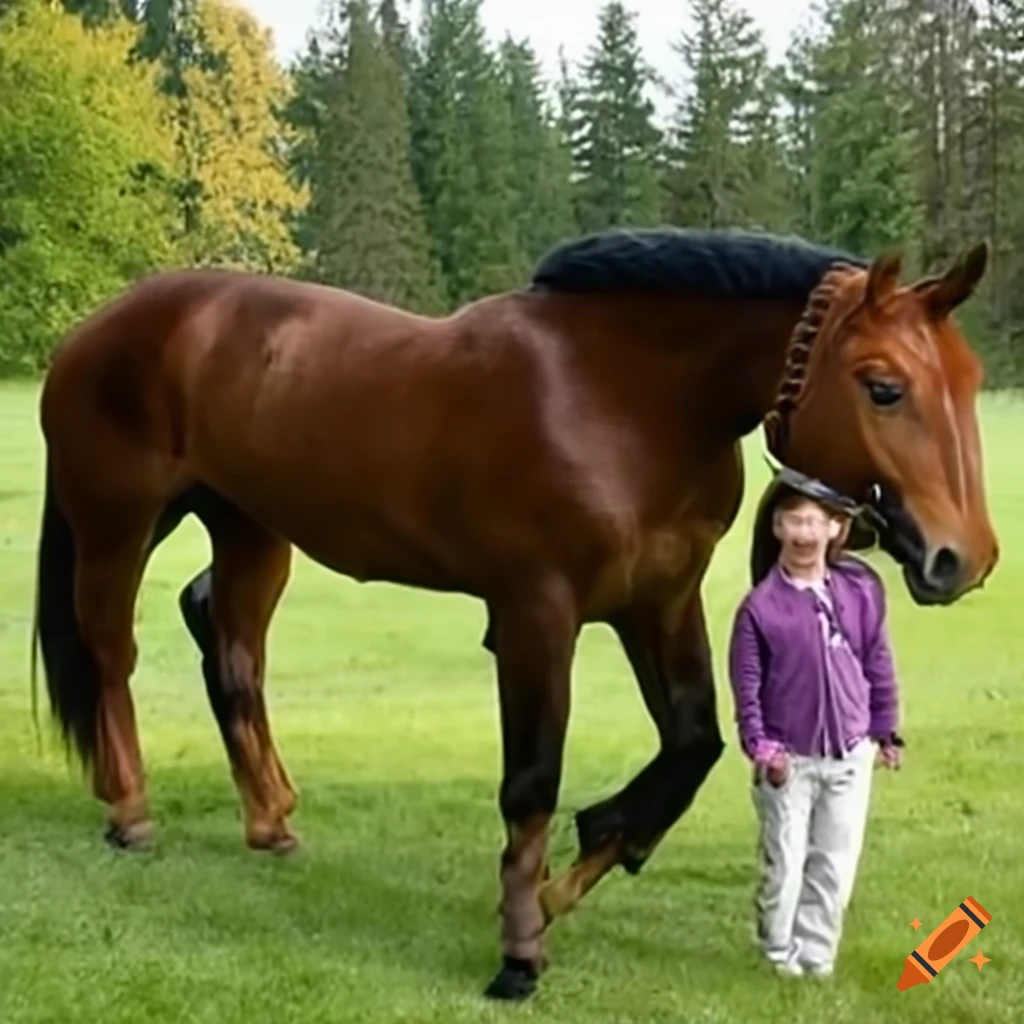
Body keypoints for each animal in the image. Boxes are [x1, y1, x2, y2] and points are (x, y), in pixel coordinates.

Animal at [29, 227, 998, 1000]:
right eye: (883, 387)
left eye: (969, 379)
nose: (966, 558)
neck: (621, 397)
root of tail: (99, 326)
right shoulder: (538, 615)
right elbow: (531, 780)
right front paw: (520, 949)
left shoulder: (658, 602)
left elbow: (692, 745)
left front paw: (580, 869)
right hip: (118, 521)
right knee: (111, 650)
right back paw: (131, 814)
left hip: (250, 526)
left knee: (229, 647)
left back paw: (271, 823)